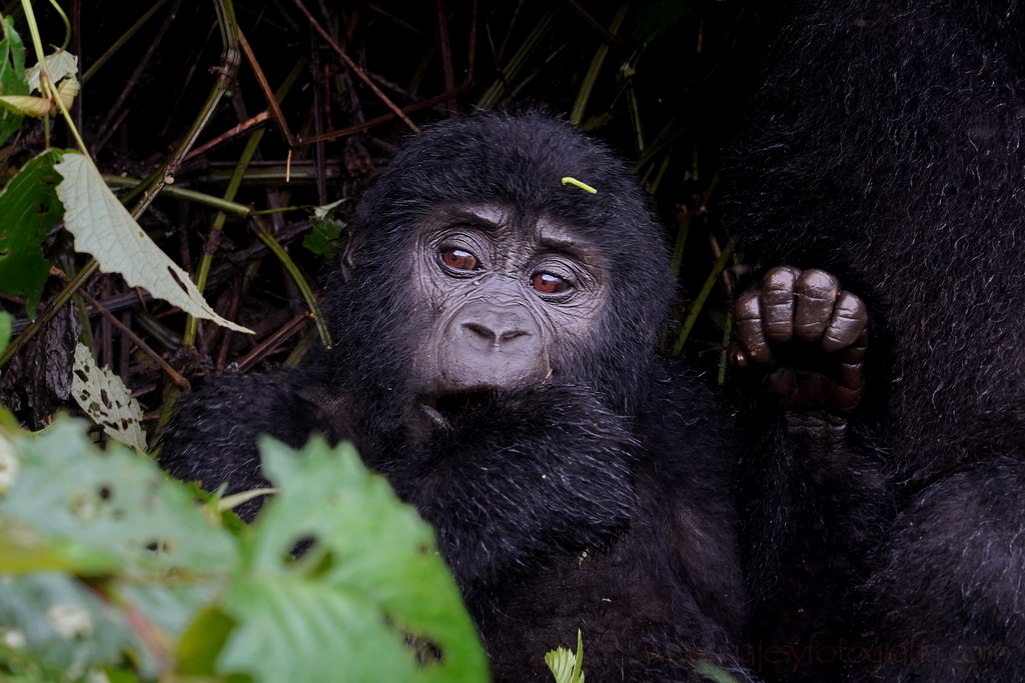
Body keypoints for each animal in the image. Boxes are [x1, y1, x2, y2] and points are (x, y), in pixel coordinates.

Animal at [159, 112, 754, 680]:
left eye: (550, 283)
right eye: (460, 259)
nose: (496, 330)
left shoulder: (694, 431)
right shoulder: (226, 431)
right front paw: (531, 465)